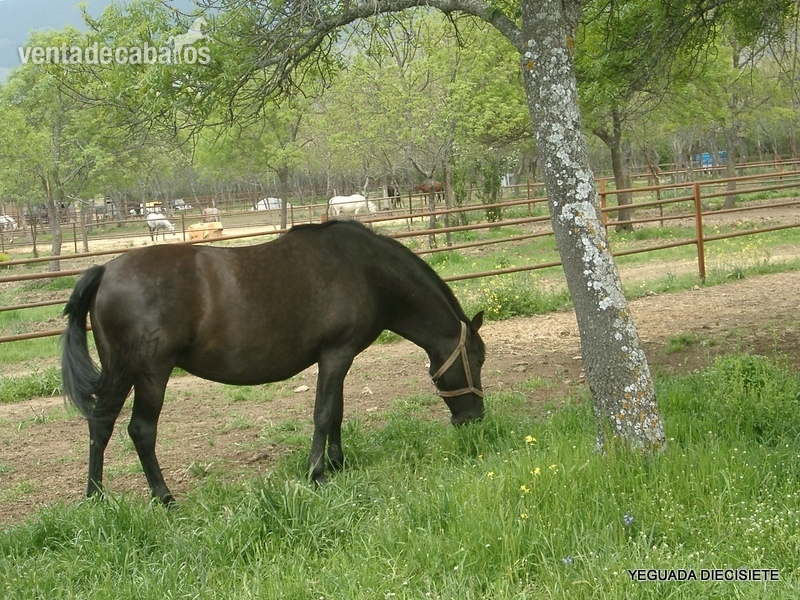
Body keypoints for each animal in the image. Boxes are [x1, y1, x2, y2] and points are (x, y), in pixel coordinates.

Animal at [61, 220, 485, 504]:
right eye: (477, 359)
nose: (474, 419)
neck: (364, 269)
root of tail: (105, 271)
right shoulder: (336, 354)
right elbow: (324, 413)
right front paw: (316, 473)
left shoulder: (339, 357)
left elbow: (336, 411)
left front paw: (337, 463)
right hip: (150, 373)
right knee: (141, 430)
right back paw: (164, 497)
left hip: (120, 372)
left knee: (101, 424)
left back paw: (95, 496)